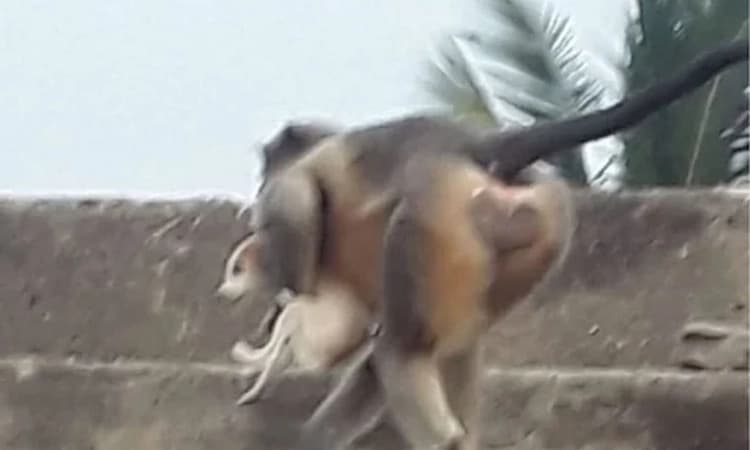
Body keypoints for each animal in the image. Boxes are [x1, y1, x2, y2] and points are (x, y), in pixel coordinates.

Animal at [244, 40, 748, 450]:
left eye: (267, 164)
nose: (258, 184)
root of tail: (481, 148)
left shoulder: (298, 182)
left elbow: (296, 200)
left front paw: (293, 303)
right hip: (540, 223)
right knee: (449, 341)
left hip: (432, 210)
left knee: (401, 351)